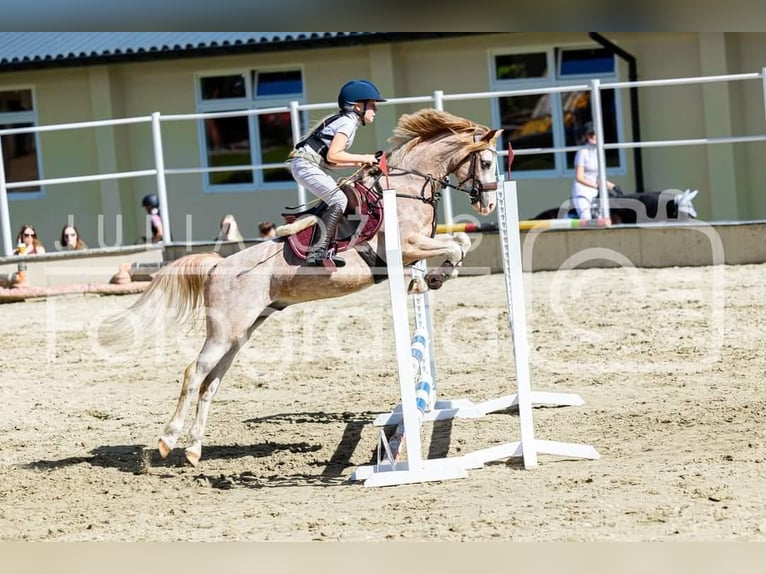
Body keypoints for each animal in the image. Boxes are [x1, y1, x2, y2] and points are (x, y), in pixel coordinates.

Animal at [106, 108, 504, 468]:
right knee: (194, 374)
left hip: (239, 334)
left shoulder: (418, 246)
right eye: (485, 162)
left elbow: (460, 246)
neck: (405, 188)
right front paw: (433, 278)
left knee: (211, 383)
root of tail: (219, 266)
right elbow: (455, 246)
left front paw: (431, 280)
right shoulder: (406, 246)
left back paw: (193, 449)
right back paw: (167, 440)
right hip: (224, 332)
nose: (488, 203)